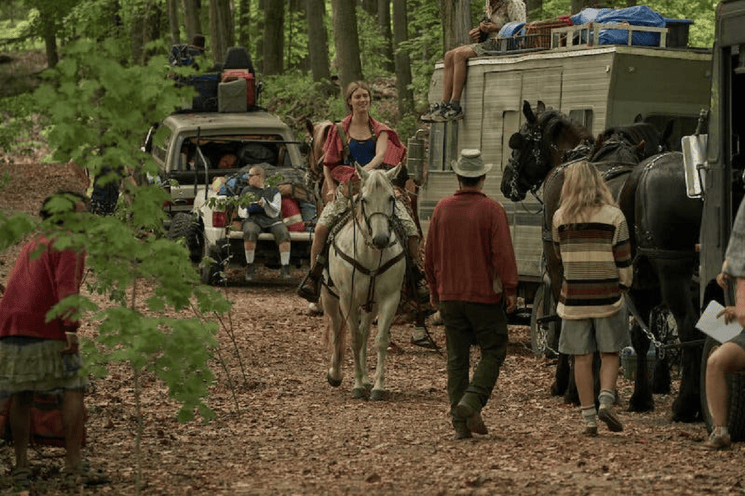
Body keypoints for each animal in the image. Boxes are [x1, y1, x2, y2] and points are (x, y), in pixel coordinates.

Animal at [322, 163, 406, 400]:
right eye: (364, 199)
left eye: (391, 198)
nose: (381, 239)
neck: (370, 255)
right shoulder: (347, 298)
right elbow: (354, 338)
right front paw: (357, 385)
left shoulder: (389, 300)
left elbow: (379, 340)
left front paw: (377, 386)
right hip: (330, 297)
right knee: (338, 326)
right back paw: (335, 374)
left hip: (371, 305)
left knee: (366, 331)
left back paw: (368, 380)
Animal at [500, 101, 704, 422]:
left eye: (518, 142)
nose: (506, 182)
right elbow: (635, 333)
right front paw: (631, 394)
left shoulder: (560, 269)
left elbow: (566, 322)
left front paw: (569, 385)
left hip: (672, 273)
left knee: (688, 326)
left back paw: (685, 405)